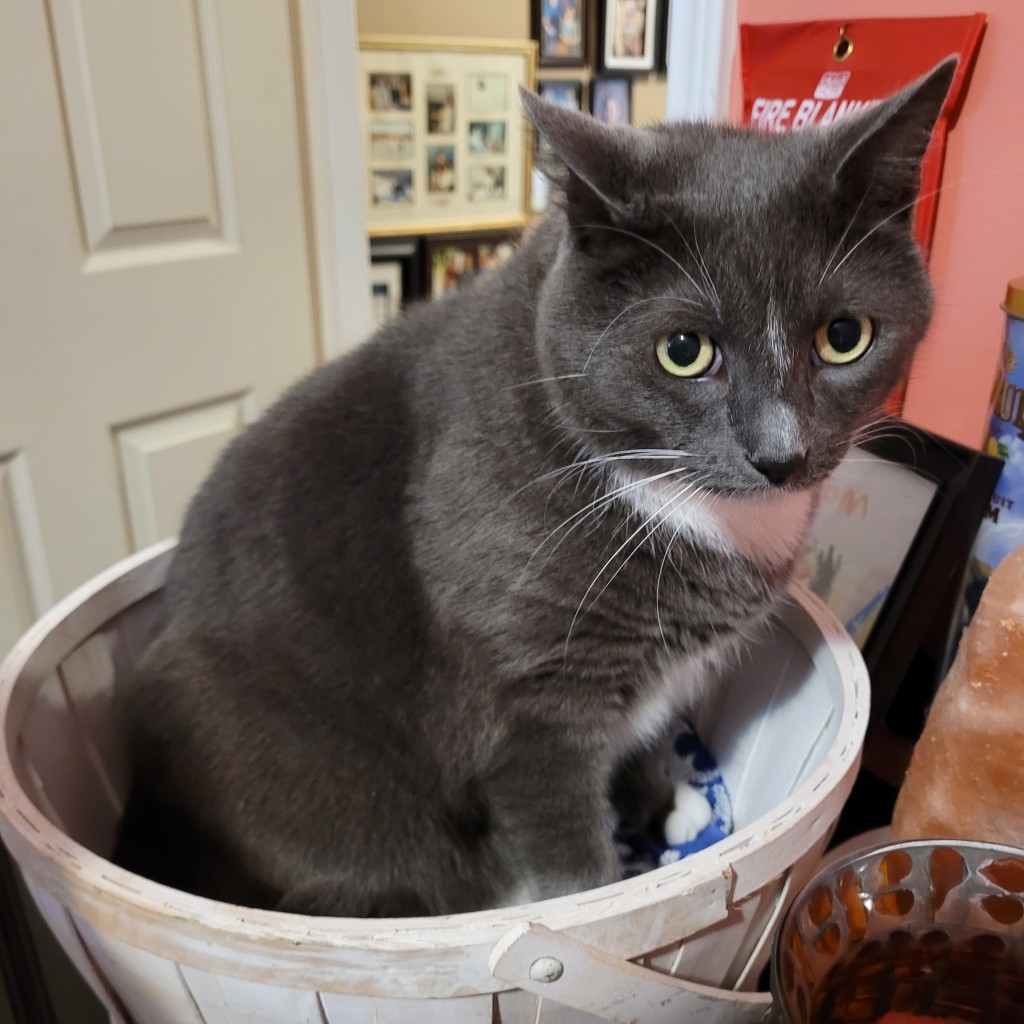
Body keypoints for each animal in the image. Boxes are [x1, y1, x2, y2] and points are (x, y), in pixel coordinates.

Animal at [116, 59, 954, 917]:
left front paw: (664, 803)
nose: (780, 455)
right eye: (684, 350)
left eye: (845, 336)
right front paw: (608, 885)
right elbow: (569, 855)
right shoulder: (528, 703)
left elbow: (648, 733)